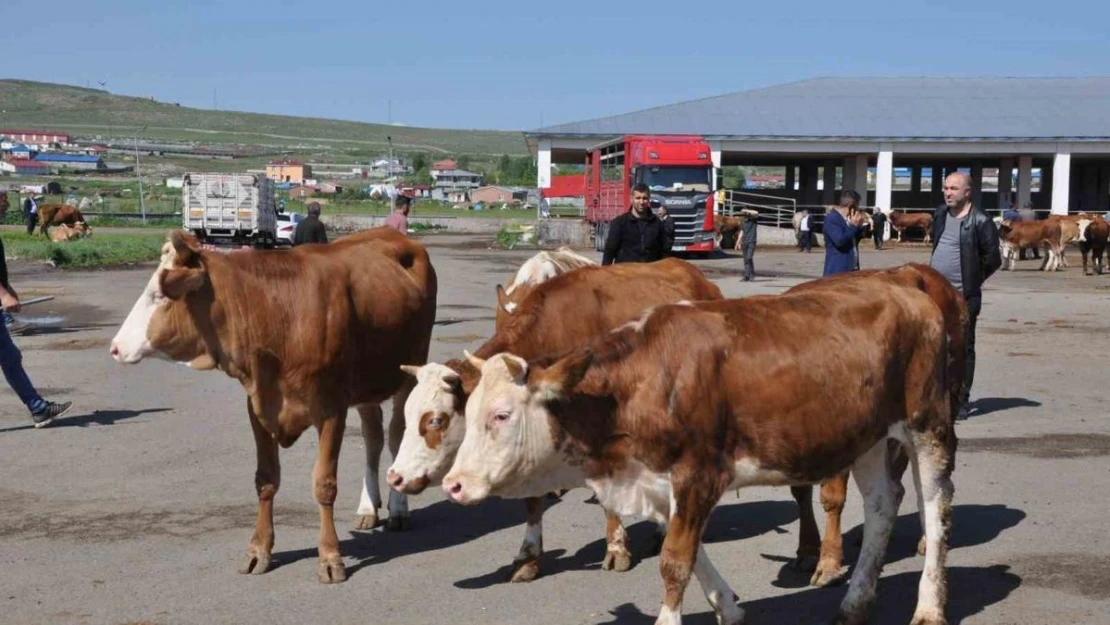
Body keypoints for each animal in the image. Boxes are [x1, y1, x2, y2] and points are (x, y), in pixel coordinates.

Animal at [109, 227, 437, 586]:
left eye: (159, 296)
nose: (115, 347)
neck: (276, 313)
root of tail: (394, 233)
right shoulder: (258, 406)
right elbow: (265, 480)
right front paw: (258, 550)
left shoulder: (331, 408)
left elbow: (324, 485)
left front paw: (330, 556)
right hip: (366, 383)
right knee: (373, 438)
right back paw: (368, 508)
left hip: (410, 368)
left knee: (396, 435)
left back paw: (398, 509)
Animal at [386, 256, 723, 586]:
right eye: (407, 415)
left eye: (436, 420)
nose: (395, 477)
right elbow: (532, 502)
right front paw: (528, 557)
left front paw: (616, 549)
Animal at [446, 275, 959, 625]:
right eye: (468, 411)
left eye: (501, 415)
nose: (454, 484)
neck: (643, 382)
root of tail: (906, 289)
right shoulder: (658, 478)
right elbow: (691, 554)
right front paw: (728, 606)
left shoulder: (699, 473)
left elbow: (676, 562)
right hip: (867, 435)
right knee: (882, 505)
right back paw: (855, 602)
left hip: (927, 422)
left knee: (935, 505)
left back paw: (929, 606)